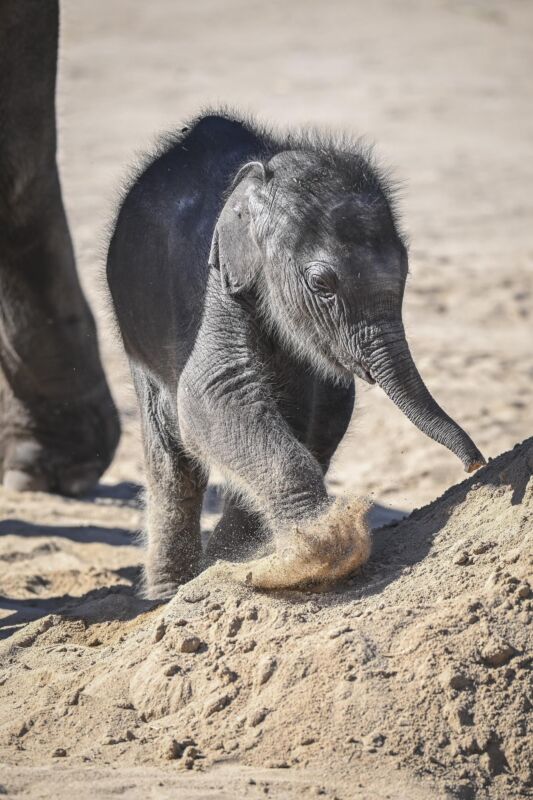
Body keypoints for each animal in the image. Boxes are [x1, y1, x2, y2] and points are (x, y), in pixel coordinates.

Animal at [107, 111, 485, 600]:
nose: (476, 464)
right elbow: (215, 392)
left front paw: (249, 560)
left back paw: (215, 564)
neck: (261, 172)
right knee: (171, 458)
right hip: (135, 324)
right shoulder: (215, 279)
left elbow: (312, 409)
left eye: (406, 273)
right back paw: (170, 592)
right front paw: (320, 548)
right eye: (322, 284)